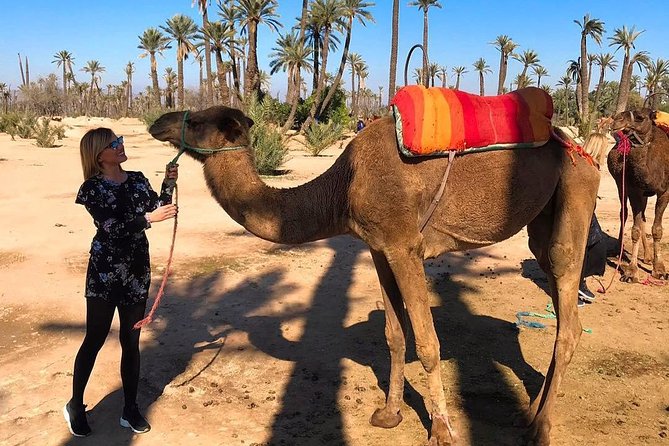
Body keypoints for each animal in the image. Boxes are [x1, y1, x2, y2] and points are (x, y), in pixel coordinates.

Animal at [149, 105, 600, 446]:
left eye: (198, 120)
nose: (158, 122)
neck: (343, 186)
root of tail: (581, 149)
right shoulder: (378, 247)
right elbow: (395, 335)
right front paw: (389, 413)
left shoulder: (404, 244)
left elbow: (428, 342)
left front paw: (442, 432)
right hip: (542, 220)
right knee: (559, 302)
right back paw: (529, 412)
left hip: (576, 191)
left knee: (568, 306)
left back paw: (540, 429)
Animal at [607, 108, 669, 282]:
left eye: (640, 117)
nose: (617, 119)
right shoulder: (635, 190)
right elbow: (635, 229)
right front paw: (631, 271)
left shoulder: (664, 191)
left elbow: (657, 229)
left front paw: (659, 269)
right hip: (619, 183)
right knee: (624, 212)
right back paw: (618, 252)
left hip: (645, 194)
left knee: (642, 218)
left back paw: (647, 257)